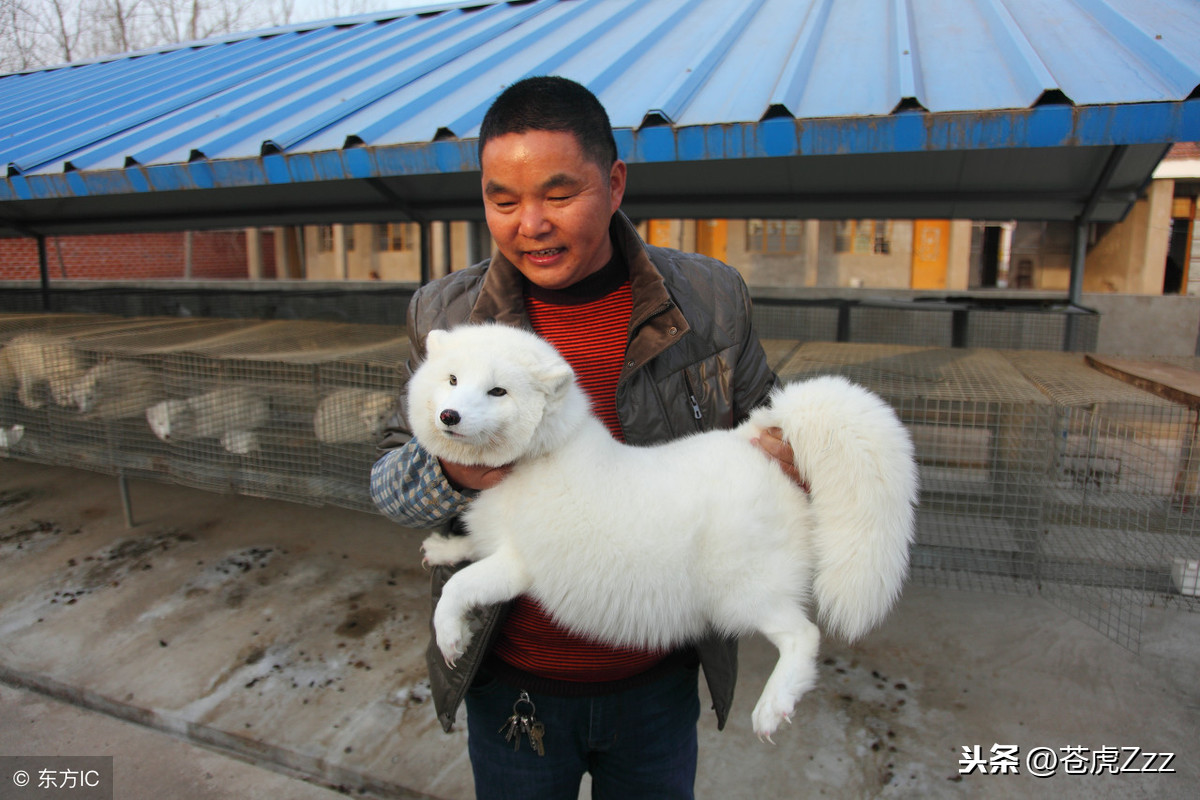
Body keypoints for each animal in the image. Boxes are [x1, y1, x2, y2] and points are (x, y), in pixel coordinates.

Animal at [412, 321, 916, 743]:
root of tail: (752, 440)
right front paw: (445, 548)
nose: (450, 416)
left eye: (498, 391)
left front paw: (449, 636)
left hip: (742, 596)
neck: (540, 455)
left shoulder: (519, 566)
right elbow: (468, 552)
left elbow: (457, 589)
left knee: (804, 635)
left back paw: (773, 706)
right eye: (452, 380)